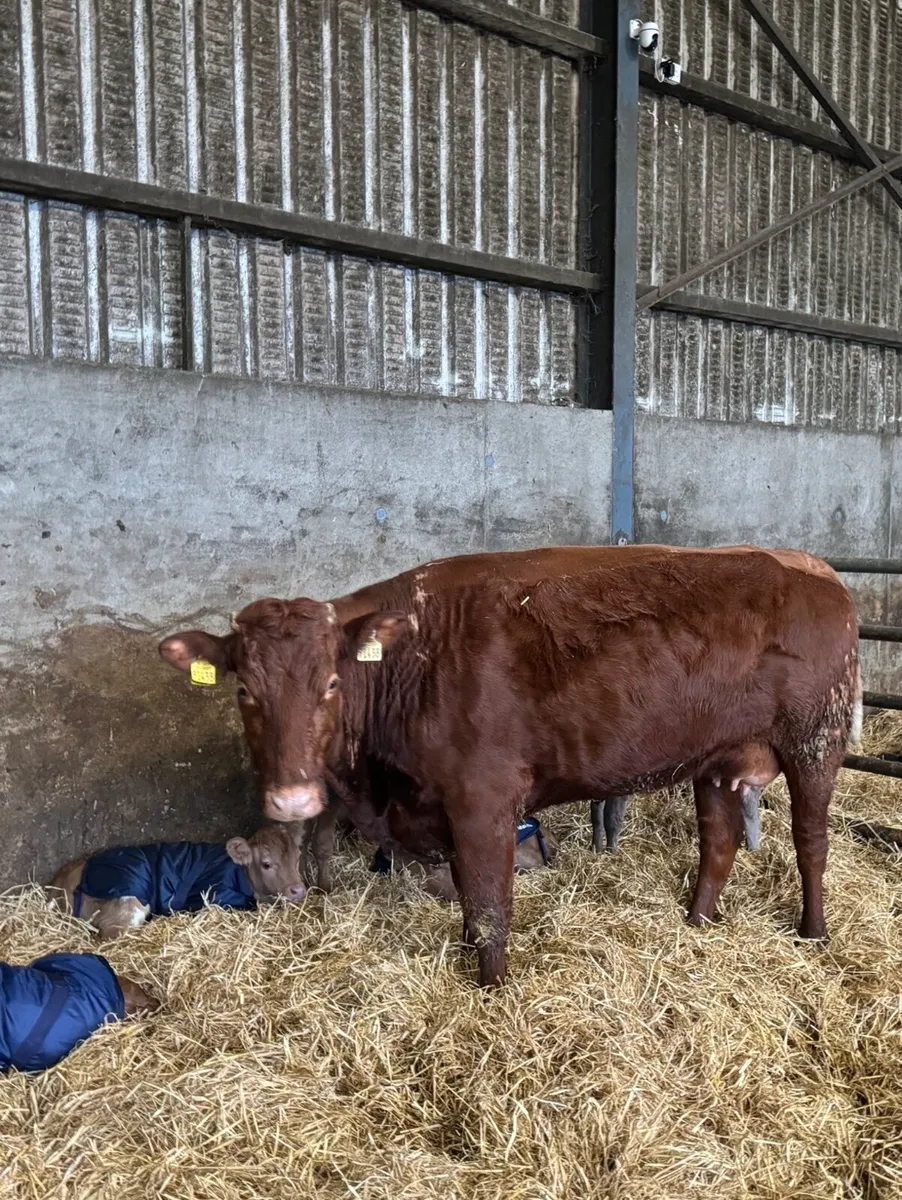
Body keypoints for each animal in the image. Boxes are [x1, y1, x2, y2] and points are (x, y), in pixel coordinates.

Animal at [159, 544, 861, 987]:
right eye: (243, 690)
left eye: (331, 683)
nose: (294, 801)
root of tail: (815, 571)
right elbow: (470, 904)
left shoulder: (484, 802)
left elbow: (490, 911)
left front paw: (492, 993)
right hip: (717, 757)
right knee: (718, 840)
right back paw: (698, 921)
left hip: (815, 738)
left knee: (811, 842)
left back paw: (814, 931)